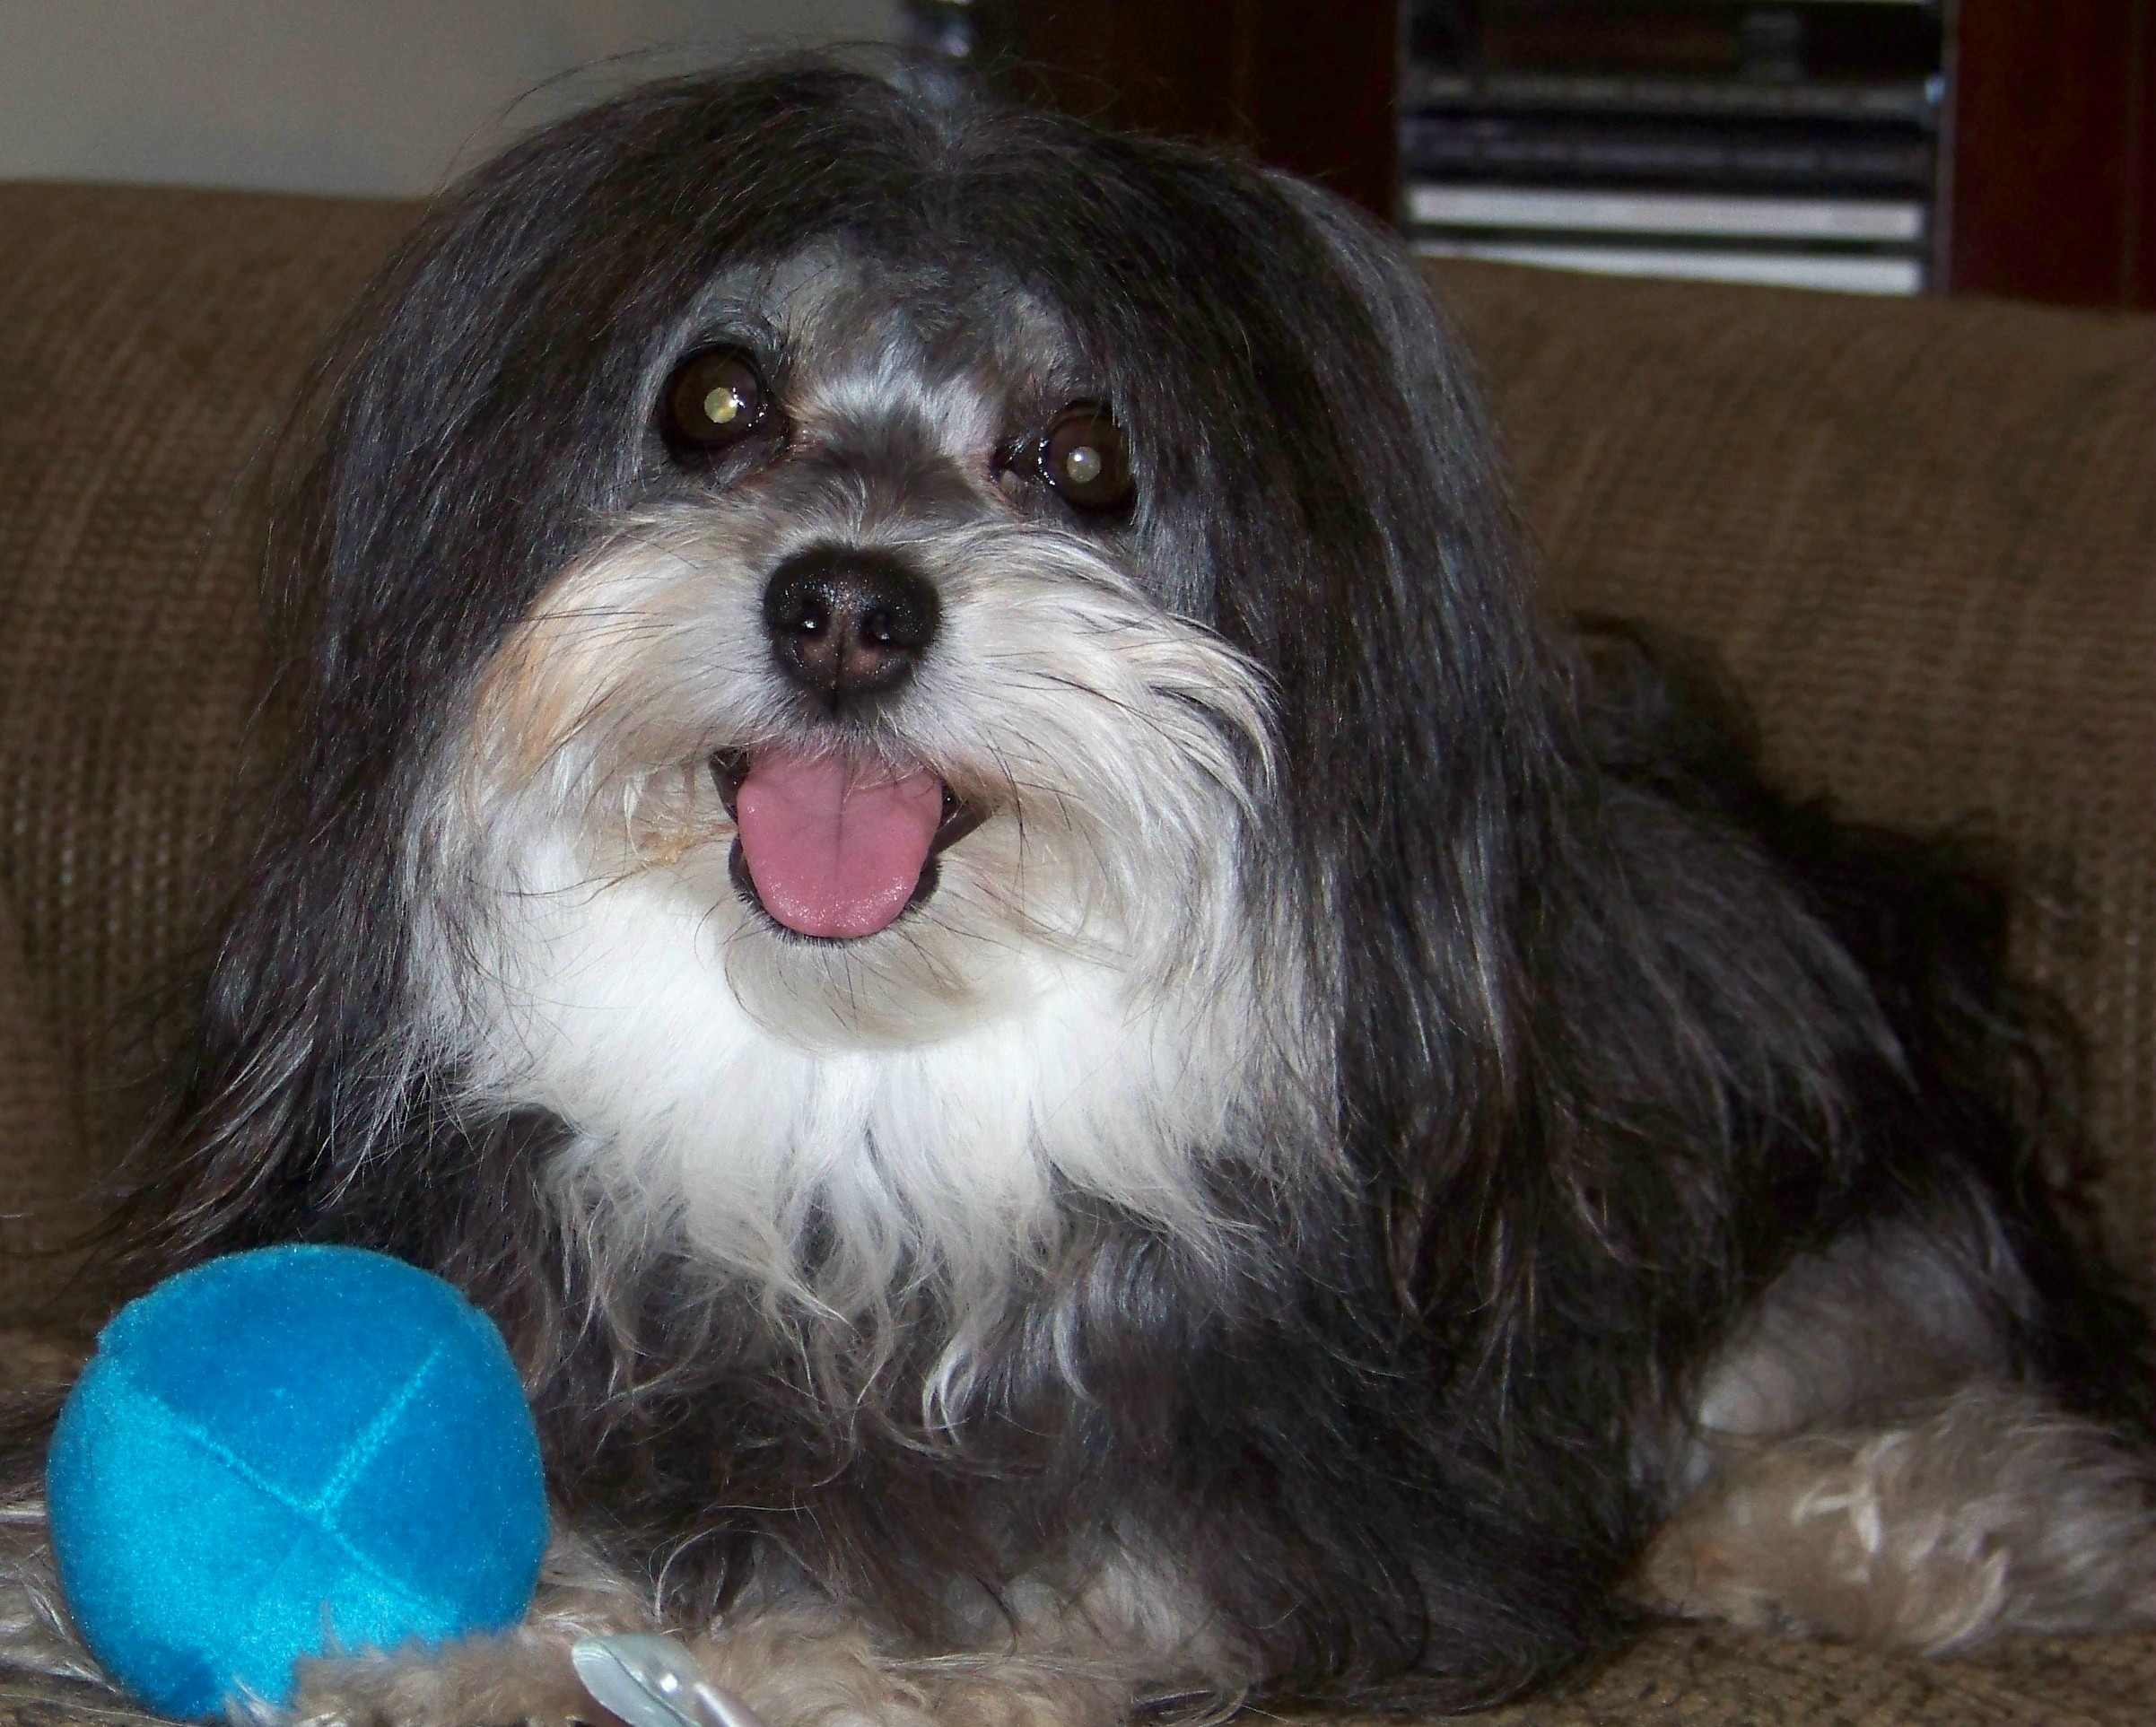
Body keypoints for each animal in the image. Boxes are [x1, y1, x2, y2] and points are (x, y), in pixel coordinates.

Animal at [4, 57, 2156, 1724]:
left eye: (1085, 453)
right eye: (716, 401)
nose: (846, 603)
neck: (843, 1087)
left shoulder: (1216, 1526)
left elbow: (955, 1627)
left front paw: (624, 1661)